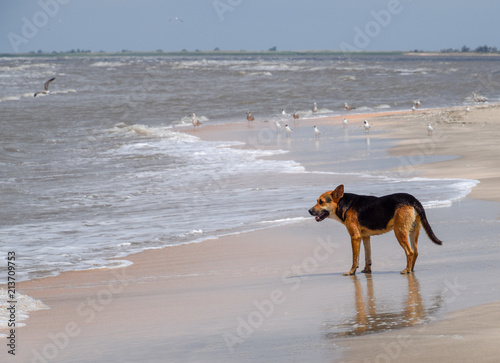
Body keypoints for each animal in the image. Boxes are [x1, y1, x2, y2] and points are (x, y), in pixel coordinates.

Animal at [308, 185, 442, 276]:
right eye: (317, 201)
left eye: (321, 202)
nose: (309, 211)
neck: (345, 204)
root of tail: (412, 199)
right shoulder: (365, 237)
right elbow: (368, 257)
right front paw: (367, 270)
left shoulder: (355, 237)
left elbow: (354, 259)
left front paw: (351, 272)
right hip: (413, 231)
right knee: (415, 252)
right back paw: (412, 269)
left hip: (399, 232)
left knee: (410, 252)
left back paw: (407, 270)